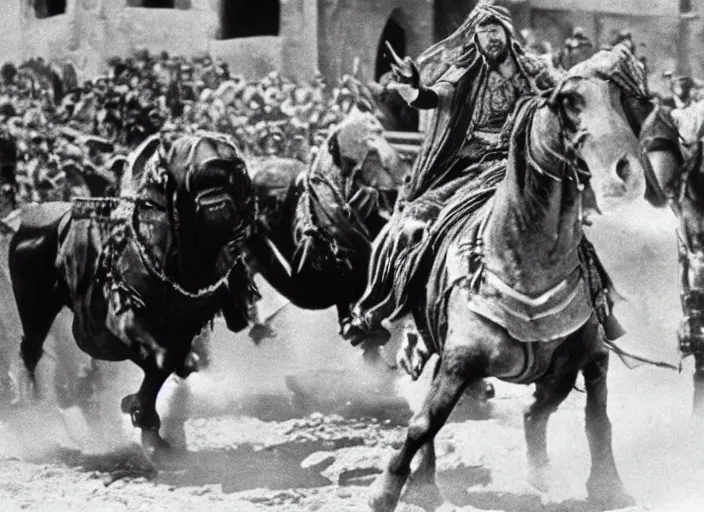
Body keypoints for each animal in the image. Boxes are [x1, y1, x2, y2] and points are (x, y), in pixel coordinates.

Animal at [9, 131, 258, 456]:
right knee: (31, 348)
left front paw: (145, 418)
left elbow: (173, 362)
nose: (216, 202)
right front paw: (142, 415)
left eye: (233, 170)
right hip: (34, 304)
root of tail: (29, 219)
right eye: (192, 173)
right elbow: (161, 359)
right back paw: (31, 405)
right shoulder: (122, 316)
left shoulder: (185, 327)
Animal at [372, 46, 652, 510]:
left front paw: (609, 486)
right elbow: (423, 422)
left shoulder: (593, 355)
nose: (626, 172)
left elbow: (597, 418)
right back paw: (426, 482)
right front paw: (386, 489)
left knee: (538, 408)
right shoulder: (458, 360)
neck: (527, 266)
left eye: (620, 99)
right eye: (568, 101)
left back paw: (538, 472)